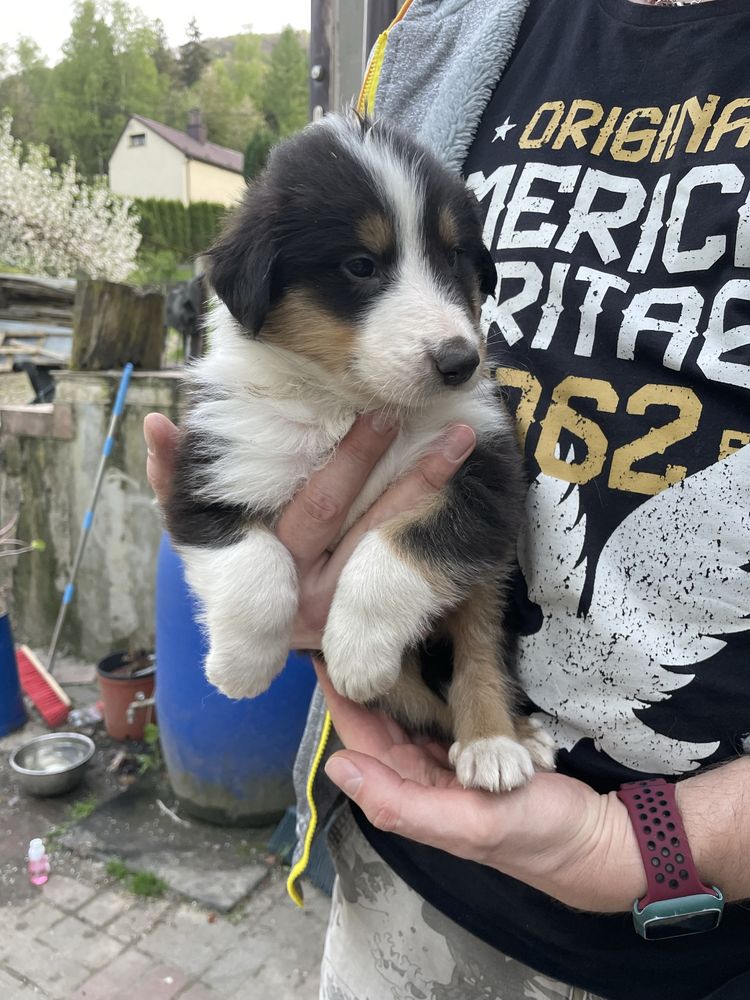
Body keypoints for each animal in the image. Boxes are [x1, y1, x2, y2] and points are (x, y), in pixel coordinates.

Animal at [170, 113, 560, 792]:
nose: (460, 362)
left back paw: (499, 742)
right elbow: (256, 567)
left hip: (493, 580)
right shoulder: (211, 469)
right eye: (360, 265)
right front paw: (240, 668)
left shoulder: (482, 474)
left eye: (454, 257)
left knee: (479, 649)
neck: (347, 404)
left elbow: (393, 551)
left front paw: (356, 651)